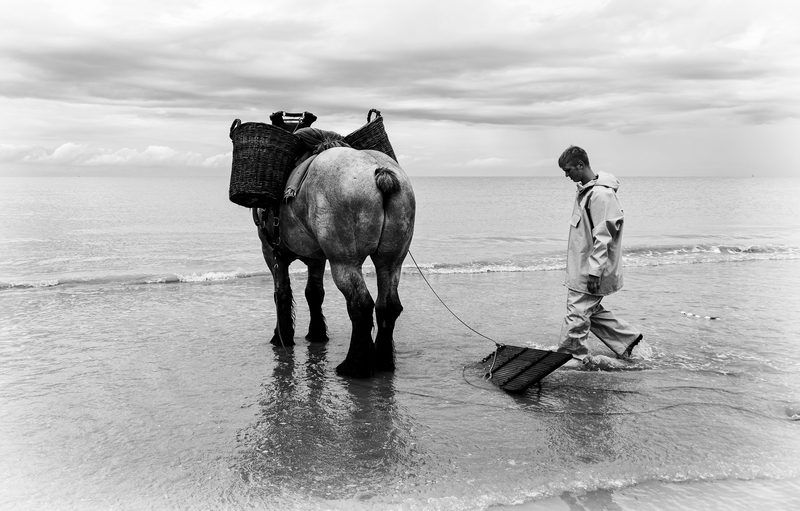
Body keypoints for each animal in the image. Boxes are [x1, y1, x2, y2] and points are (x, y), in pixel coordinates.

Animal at [255, 146, 418, 378]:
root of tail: (379, 171)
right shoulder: (316, 259)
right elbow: (314, 293)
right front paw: (316, 333)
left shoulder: (271, 254)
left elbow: (282, 294)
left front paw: (282, 336)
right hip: (391, 262)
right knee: (388, 306)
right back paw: (382, 361)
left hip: (344, 262)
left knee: (361, 304)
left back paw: (355, 365)